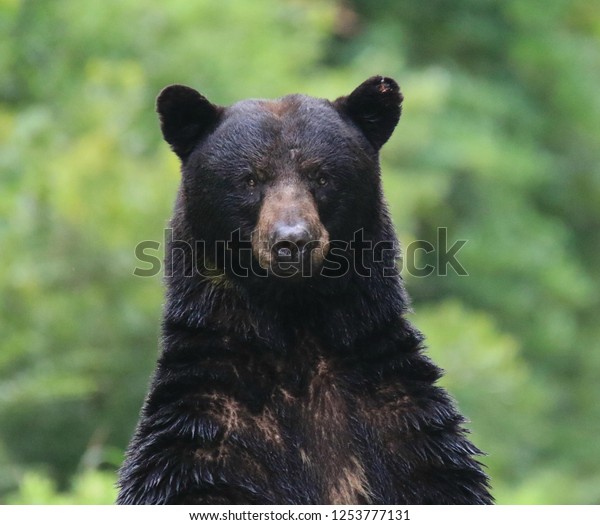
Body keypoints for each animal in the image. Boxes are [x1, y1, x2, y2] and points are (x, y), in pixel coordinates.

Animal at [117, 77, 492, 504]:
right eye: (250, 178)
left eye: (322, 176)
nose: (293, 241)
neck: (295, 324)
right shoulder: (206, 439)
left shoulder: (406, 432)